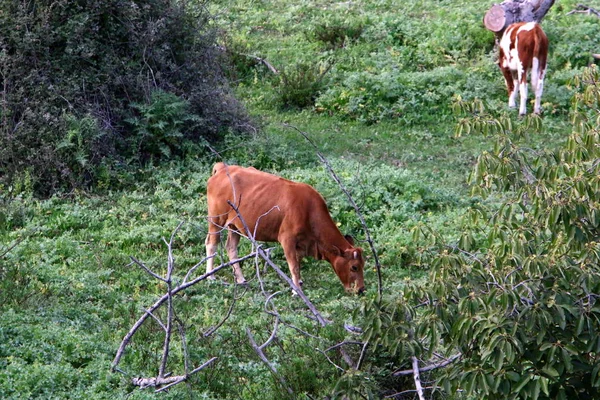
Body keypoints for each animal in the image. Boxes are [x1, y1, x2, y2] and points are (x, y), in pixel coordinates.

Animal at [205, 162, 366, 294]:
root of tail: (223, 168)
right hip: (216, 219)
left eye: (363, 264)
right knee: (212, 243)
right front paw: (296, 290)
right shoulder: (287, 238)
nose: (361, 290)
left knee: (231, 247)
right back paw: (210, 276)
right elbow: (293, 265)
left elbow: (298, 261)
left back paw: (241, 279)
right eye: (354, 267)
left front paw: (299, 282)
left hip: (235, 225)